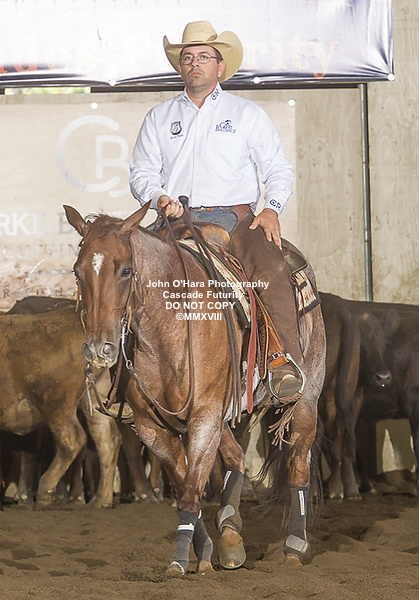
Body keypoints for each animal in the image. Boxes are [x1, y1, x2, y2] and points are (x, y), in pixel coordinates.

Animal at [64, 202, 326, 575]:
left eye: (126, 270)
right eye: (77, 272)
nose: (99, 348)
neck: (169, 328)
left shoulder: (204, 417)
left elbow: (190, 491)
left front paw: (178, 560)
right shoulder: (153, 427)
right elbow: (183, 485)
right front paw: (204, 552)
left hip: (307, 397)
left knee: (298, 463)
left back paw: (294, 546)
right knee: (236, 458)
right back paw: (230, 535)